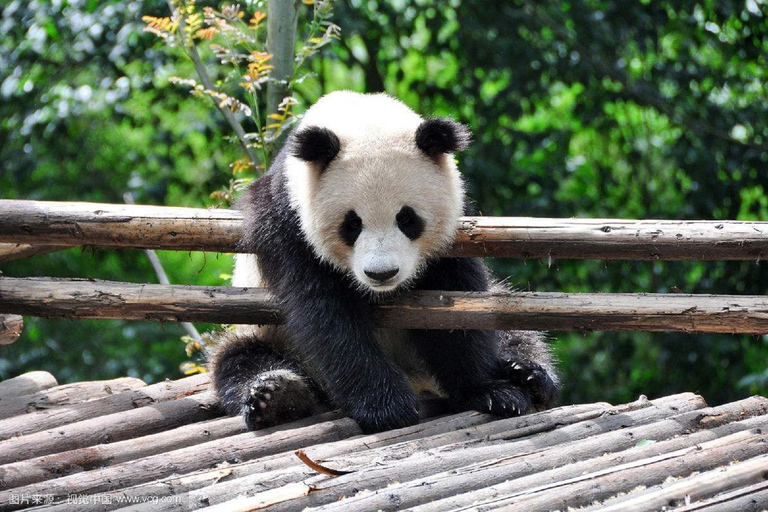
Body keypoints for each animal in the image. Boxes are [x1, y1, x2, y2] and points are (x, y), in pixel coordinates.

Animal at [209, 91, 558, 434]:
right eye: (351, 224)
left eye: (407, 219)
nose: (382, 273)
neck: (359, 115)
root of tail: (420, 382)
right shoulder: (288, 223)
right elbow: (327, 314)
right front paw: (387, 407)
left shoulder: (454, 223)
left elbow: (459, 305)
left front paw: (491, 391)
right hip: (263, 334)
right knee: (239, 360)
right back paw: (276, 395)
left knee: (512, 326)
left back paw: (528, 372)